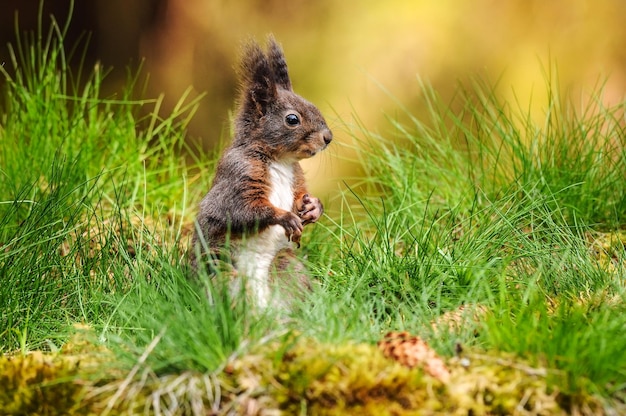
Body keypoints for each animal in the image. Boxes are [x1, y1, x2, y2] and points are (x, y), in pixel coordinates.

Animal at [190, 36, 332, 308]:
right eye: (292, 119)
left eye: (313, 106)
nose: (328, 138)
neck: (281, 161)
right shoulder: (238, 175)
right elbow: (240, 210)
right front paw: (284, 217)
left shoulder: (296, 180)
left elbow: (300, 197)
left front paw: (313, 207)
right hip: (220, 268)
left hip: (286, 266)